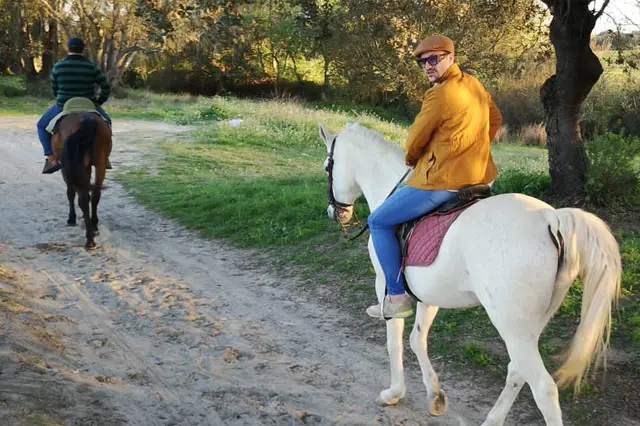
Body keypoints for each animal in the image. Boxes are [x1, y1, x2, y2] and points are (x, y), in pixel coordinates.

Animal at [52, 112, 112, 249]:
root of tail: (86, 119)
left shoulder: (66, 168)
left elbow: (70, 193)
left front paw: (71, 218)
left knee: (82, 197)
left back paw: (89, 239)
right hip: (100, 163)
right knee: (95, 195)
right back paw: (93, 225)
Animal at [317, 121, 621, 426]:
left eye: (326, 167)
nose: (334, 212)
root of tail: (550, 218)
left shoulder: (386, 286)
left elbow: (394, 342)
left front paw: (394, 393)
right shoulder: (429, 295)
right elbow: (417, 340)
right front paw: (435, 396)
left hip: (511, 324)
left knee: (543, 388)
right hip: (529, 326)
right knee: (517, 370)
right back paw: (492, 420)